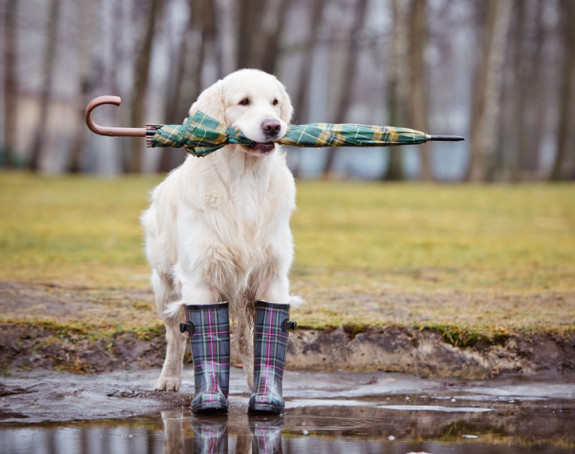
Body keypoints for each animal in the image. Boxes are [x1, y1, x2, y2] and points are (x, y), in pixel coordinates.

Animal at [142, 69, 296, 392]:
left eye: (275, 102)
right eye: (244, 101)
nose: (273, 126)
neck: (246, 181)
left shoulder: (272, 276)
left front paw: (264, 389)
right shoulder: (200, 276)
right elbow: (199, 335)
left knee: (245, 338)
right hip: (164, 284)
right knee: (175, 335)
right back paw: (169, 378)